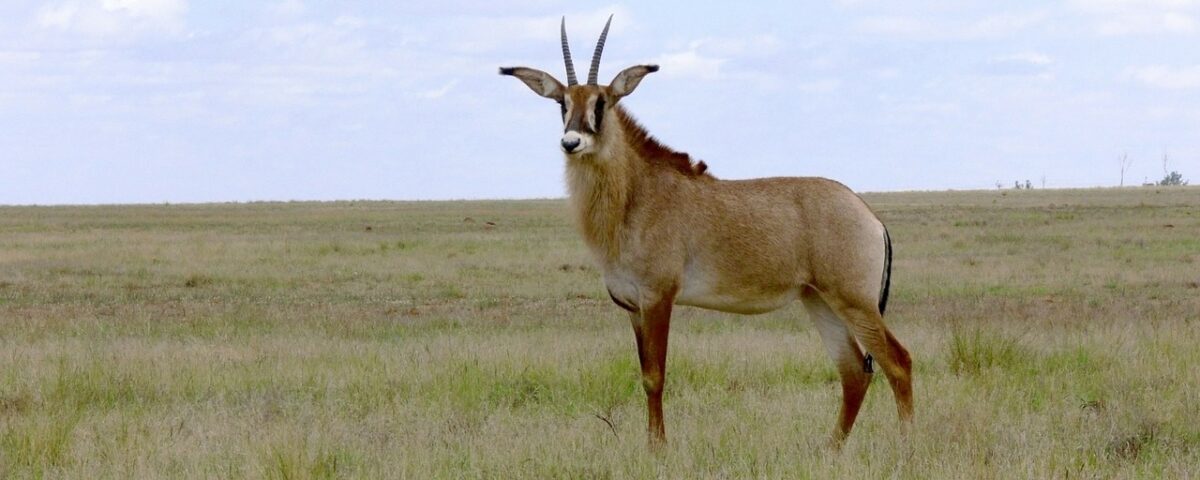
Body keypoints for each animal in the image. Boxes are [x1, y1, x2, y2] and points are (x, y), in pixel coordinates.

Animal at [500, 16, 913, 449]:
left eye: (602, 102)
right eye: (562, 102)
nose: (571, 142)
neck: (636, 195)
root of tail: (870, 216)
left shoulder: (659, 299)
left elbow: (655, 377)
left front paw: (658, 450)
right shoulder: (634, 308)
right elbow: (644, 375)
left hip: (854, 301)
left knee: (898, 362)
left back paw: (905, 447)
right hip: (819, 300)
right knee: (854, 371)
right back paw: (829, 451)